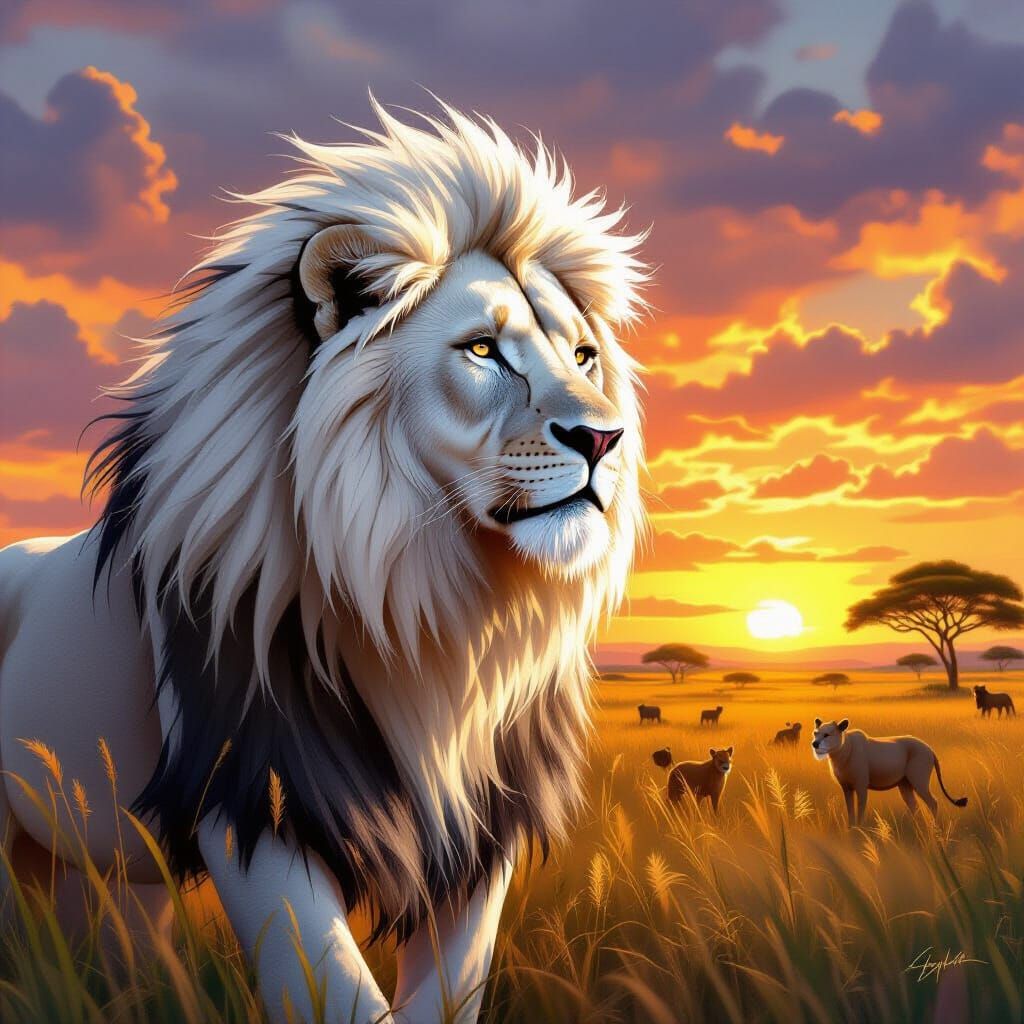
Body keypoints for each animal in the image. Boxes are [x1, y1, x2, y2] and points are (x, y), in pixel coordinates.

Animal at [0, 101, 648, 1024]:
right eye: (482, 350)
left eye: (584, 356)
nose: (603, 438)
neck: (434, 608)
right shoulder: (252, 794)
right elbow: (335, 989)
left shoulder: (482, 821)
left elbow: (448, 992)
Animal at [811, 718, 967, 827]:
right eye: (815, 733)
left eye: (827, 735)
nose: (814, 743)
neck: (841, 751)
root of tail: (929, 747)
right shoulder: (847, 788)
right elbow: (850, 810)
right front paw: (851, 829)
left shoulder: (861, 786)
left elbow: (860, 808)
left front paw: (860, 830)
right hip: (905, 786)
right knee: (915, 806)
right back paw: (919, 828)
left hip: (919, 782)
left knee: (933, 802)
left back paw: (934, 828)